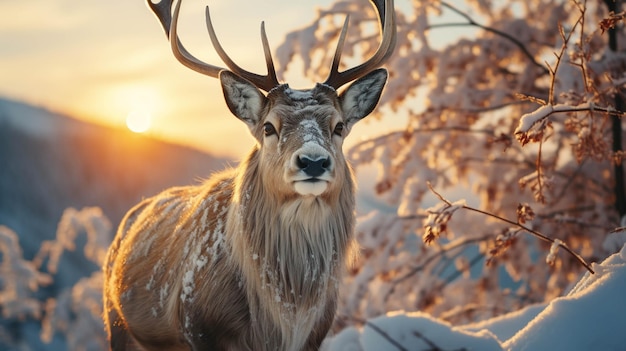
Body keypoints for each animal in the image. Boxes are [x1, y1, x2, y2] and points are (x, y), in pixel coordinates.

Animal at [102, 0, 394, 350]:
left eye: (338, 127)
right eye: (268, 127)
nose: (313, 161)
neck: (278, 324)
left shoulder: (316, 335)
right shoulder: (197, 326)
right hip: (115, 321)